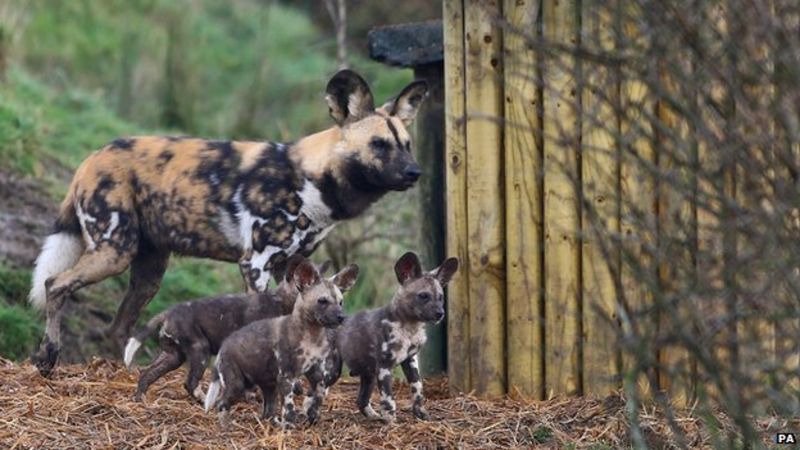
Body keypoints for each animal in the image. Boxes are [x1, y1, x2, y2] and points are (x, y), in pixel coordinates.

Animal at [29, 69, 432, 376]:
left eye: (407, 144)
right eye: (379, 144)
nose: (415, 172)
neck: (314, 181)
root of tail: (92, 157)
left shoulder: (290, 266)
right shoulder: (255, 263)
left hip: (147, 271)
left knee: (118, 325)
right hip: (115, 251)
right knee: (54, 284)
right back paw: (47, 356)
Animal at [123, 255, 324, 402]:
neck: (282, 302)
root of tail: (169, 312)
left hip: (173, 356)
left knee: (147, 373)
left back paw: (140, 398)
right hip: (200, 350)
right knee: (189, 382)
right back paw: (204, 401)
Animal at [205, 258, 358, 428]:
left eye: (340, 302)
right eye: (322, 301)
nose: (341, 317)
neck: (312, 336)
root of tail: (224, 346)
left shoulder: (315, 373)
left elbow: (318, 394)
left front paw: (312, 414)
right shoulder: (287, 377)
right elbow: (289, 407)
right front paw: (290, 426)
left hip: (268, 385)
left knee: (267, 412)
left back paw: (274, 423)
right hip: (237, 384)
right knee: (222, 403)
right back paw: (227, 427)